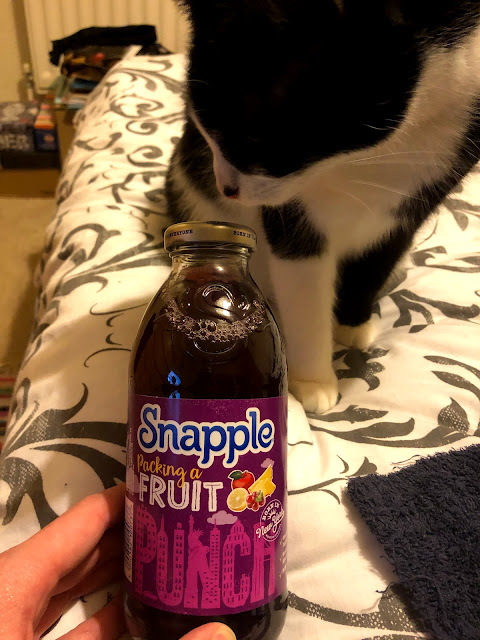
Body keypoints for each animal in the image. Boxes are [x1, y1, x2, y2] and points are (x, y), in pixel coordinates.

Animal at [166, 0, 480, 413]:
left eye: (252, 139)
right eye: (205, 126)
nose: (227, 188)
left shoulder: (422, 193)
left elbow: (378, 259)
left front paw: (352, 323)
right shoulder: (292, 215)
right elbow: (305, 289)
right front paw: (313, 380)